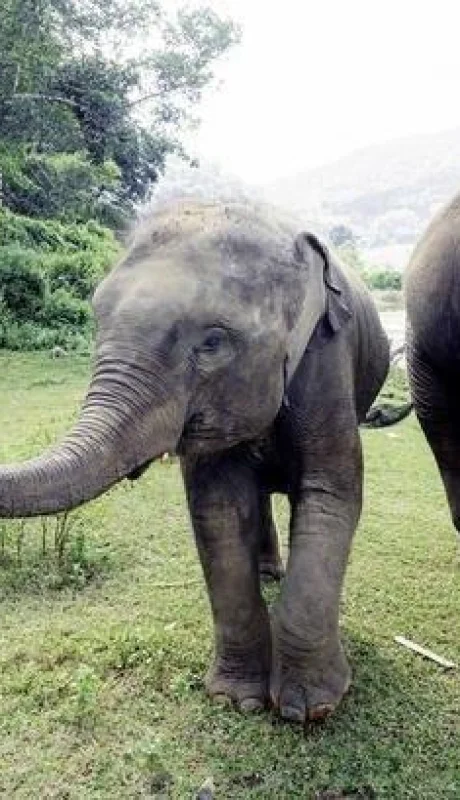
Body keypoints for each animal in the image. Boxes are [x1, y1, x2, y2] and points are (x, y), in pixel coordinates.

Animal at [0, 198, 397, 724]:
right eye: (96, 318)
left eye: (212, 342)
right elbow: (218, 509)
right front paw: (238, 700)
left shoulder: (327, 359)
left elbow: (330, 494)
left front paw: (305, 711)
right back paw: (268, 574)